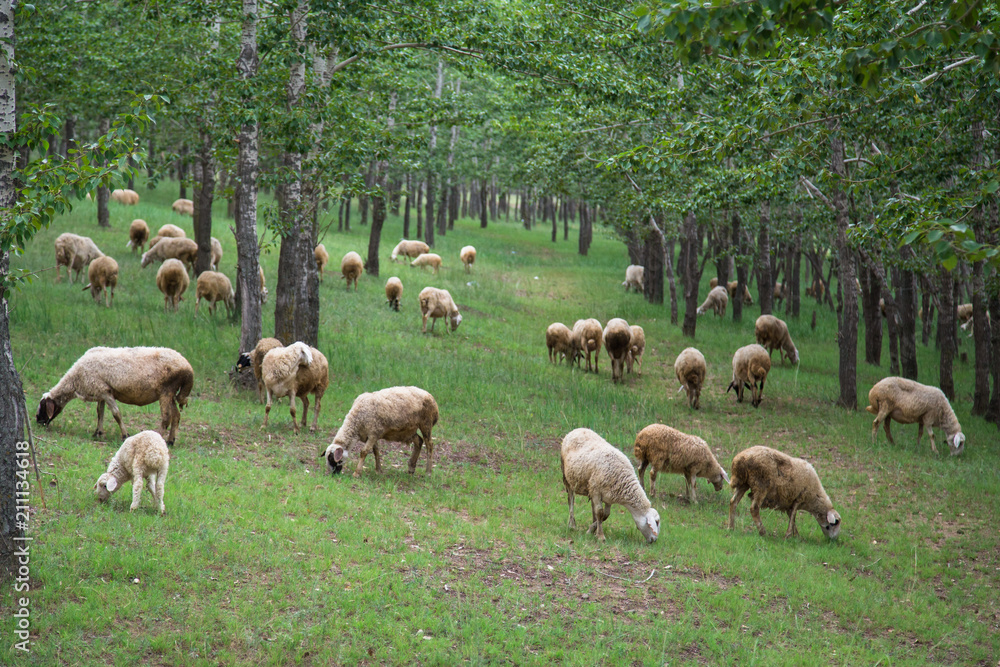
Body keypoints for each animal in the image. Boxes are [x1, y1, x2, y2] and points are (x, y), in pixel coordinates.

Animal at [36, 346, 194, 446]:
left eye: (43, 407)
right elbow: (100, 412)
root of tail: (188, 368)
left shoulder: (105, 391)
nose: (38, 421)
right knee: (176, 416)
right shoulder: (100, 391)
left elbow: (116, 414)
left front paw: (125, 435)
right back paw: (171, 441)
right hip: (171, 393)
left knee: (166, 418)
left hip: (166, 391)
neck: (74, 381)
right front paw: (98, 432)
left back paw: (159, 439)